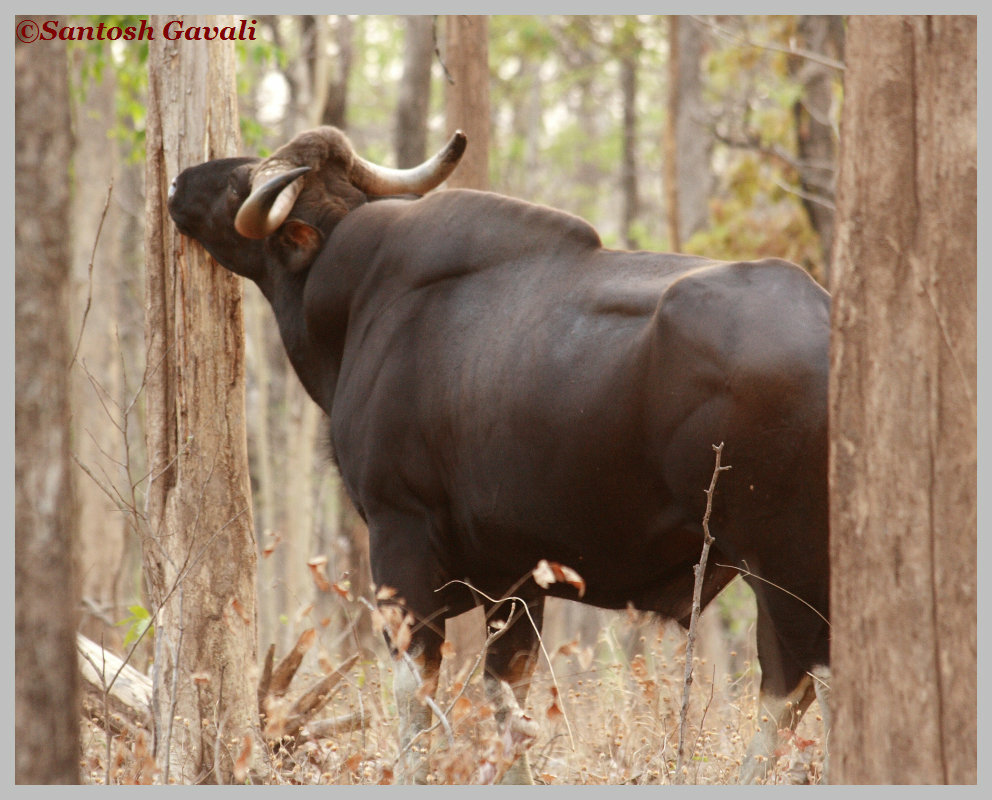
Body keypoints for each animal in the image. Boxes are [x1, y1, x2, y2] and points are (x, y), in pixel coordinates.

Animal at [169, 128, 828, 784]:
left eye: (239, 184)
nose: (180, 182)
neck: (354, 298)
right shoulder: (517, 576)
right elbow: (508, 701)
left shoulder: (398, 535)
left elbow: (415, 690)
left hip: (782, 568)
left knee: (794, 687)